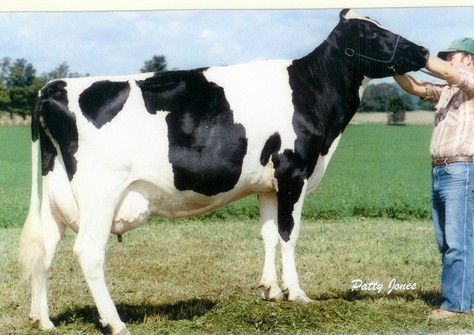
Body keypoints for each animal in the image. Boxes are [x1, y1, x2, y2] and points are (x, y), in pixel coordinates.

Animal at [18, 8, 428, 335]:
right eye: (373, 32)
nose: (424, 51)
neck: (311, 89)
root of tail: (54, 86)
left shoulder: (268, 184)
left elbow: (268, 235)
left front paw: (270, 290)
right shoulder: (293, 173)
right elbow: (289, 236)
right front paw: (297, 294)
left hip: (56, 196)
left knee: (45, 250)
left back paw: (43, 319)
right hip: (99, 194)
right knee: (88, 252)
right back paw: (115, 322)